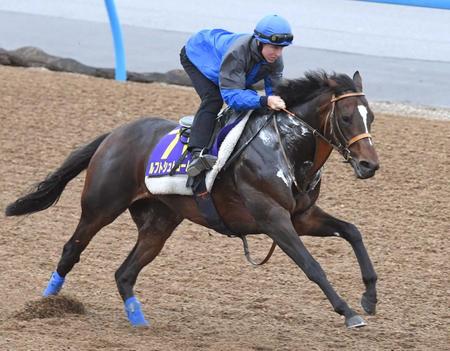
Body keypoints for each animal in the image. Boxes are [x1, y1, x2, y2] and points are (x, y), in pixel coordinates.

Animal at [6, 71, 380, 330]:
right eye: (346, 117)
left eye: (371, 117)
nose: (369, 165)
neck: (284, 146)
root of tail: (114, 134)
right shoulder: (273, 219)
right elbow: (312, 266)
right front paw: (348, 312)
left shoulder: (302, 217)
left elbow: (353, 231)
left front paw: (370, 297)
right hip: (101, 206)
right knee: (72, 249)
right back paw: (47, 302)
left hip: (159, 222)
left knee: (124, 272)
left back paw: (139, 320)